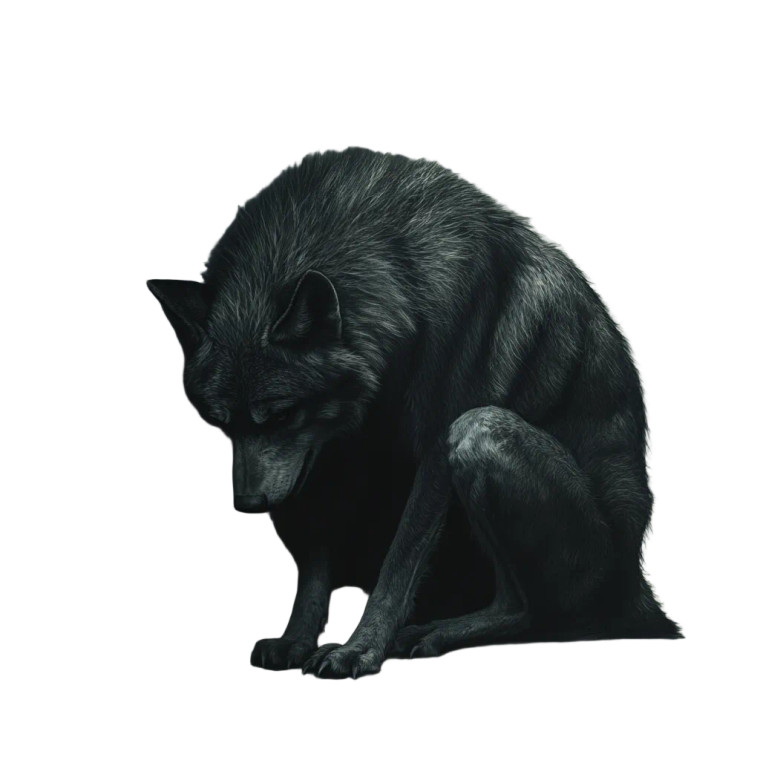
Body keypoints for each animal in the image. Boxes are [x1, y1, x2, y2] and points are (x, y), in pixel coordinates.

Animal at [147, 148, 681, 679]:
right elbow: (315, 570)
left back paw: (433, 632)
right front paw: (295, 640)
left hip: (480, 432)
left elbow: (399, 564)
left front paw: (359, 649)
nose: (249, 503)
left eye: (279, 415)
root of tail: (640, 593)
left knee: (526, 609)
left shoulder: (434, 451)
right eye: (219, 422)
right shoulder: (322, 458)